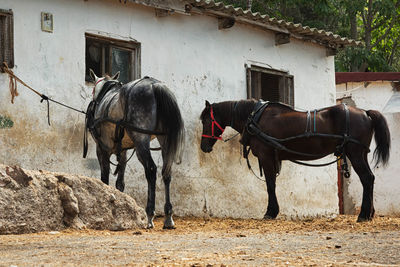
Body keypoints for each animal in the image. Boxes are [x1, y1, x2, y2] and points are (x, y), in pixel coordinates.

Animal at [85, 70, 185, 229]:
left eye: (93, 90)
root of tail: (154, 86)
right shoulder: (123, 151)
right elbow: (120, 182)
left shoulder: (102, 149)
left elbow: (104, 178)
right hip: (164, 141)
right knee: (166, 172)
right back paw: (168, 217)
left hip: (141, 141)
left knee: (151, 170)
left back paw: (150, 214)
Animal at [200, 99, 390, 223]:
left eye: (206, 120)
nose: (203, 146)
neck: (255, 117)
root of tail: (365, 113)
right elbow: (272, 184)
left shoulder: (266, 156)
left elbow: (270, 184)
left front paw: (270, 212)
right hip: (360, 154)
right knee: (370, 179)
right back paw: (370, 213)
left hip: (355, 153)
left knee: (366, 178)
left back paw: (363, 215)